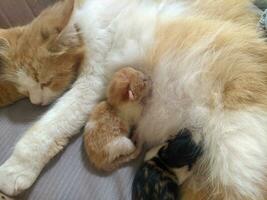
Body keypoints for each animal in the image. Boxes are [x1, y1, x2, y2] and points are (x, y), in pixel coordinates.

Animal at [0, 0, 267, 200]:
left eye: (47, 81)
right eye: (25, 89)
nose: (36, 103)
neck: (84, 20)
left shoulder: (92, 80)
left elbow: (49, 125)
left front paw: (15, 170)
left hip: (237, 161)